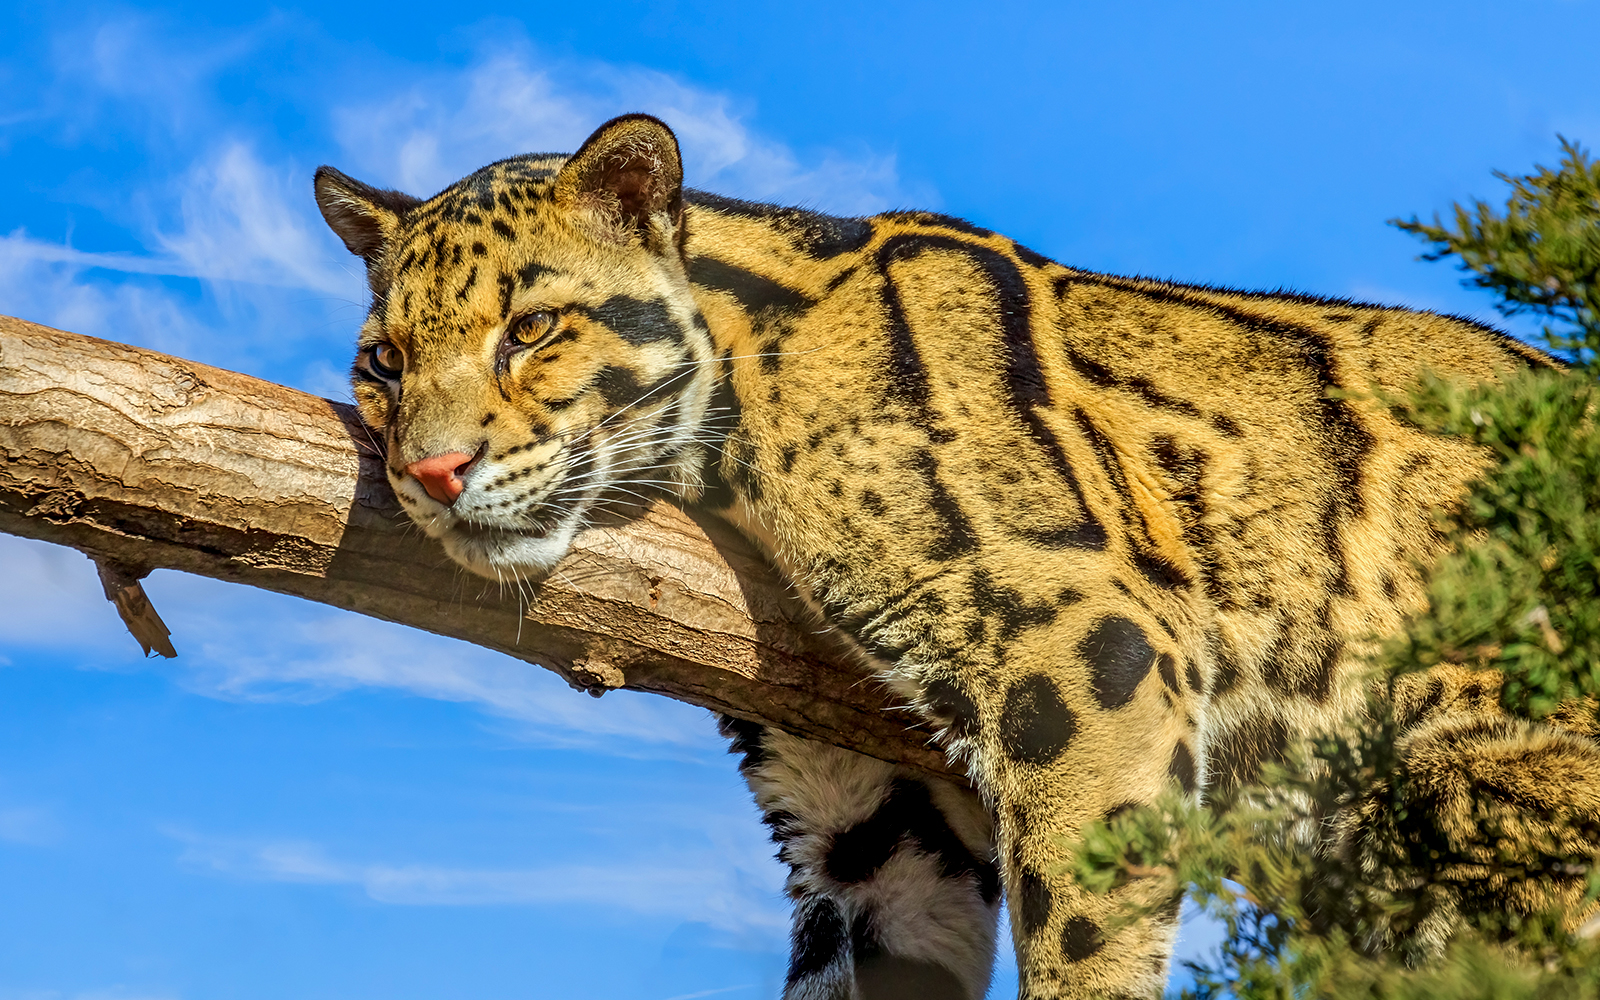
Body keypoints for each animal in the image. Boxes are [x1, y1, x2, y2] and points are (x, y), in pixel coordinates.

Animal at [313, 114, 1600, 999]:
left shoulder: (1088, 637)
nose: (430, 471)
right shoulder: (876, 814)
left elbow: (1083, 923)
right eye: (381, 363)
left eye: (530, 328)